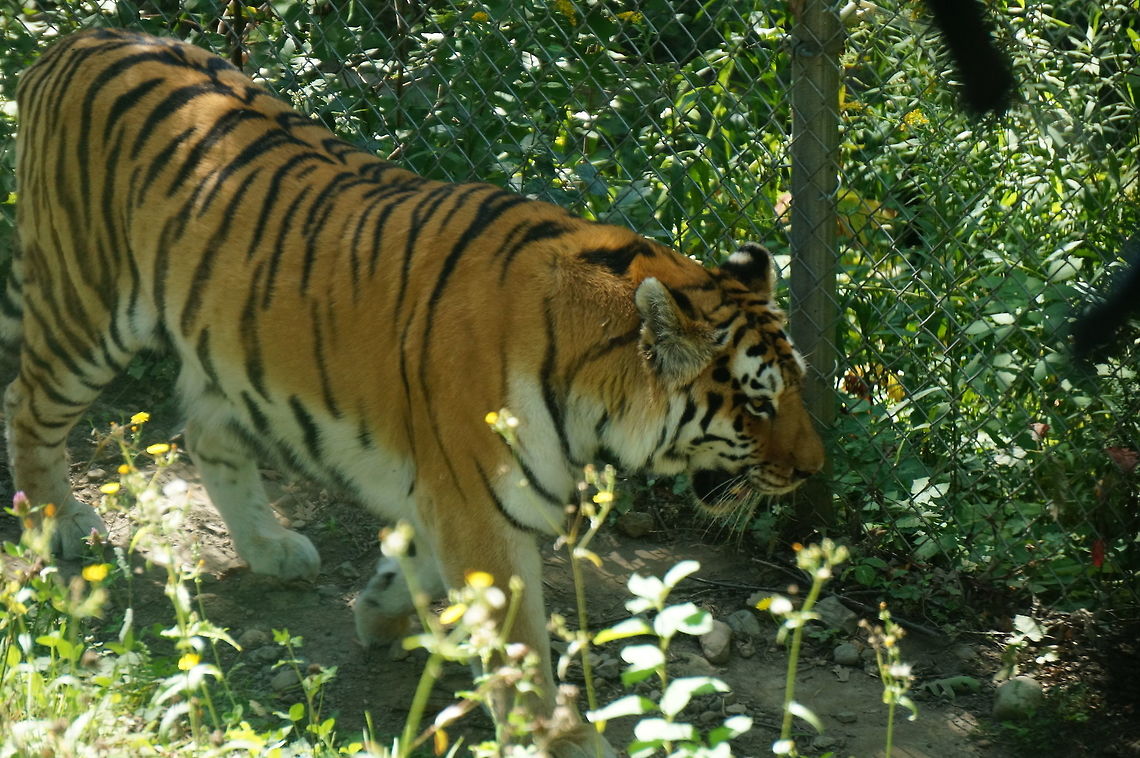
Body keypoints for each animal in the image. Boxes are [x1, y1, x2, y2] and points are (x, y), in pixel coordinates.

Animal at [3, 28, 824, 756]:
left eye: (795, 390)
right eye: (756, 403)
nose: (814, 469)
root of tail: (78, 39)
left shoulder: (449, 492)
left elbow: (422, 565)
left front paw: (379, 611)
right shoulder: (480, 505)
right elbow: (520, 649)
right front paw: (563, 740)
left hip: (221, 345)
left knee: (206, 433)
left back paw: (271, 549)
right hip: (86, 304)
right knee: (27, 405)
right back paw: (62, 527)